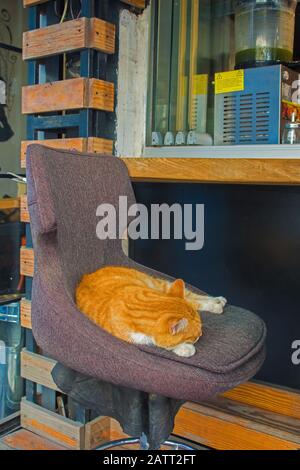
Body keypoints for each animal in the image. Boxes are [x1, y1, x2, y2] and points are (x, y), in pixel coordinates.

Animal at [76, 268, 226, 356]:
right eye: (193, 336)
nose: (201, 334)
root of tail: (85, 276)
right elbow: (164, 344)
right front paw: (185, 348)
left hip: (160, 285)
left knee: (193, 297)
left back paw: (217, 301)